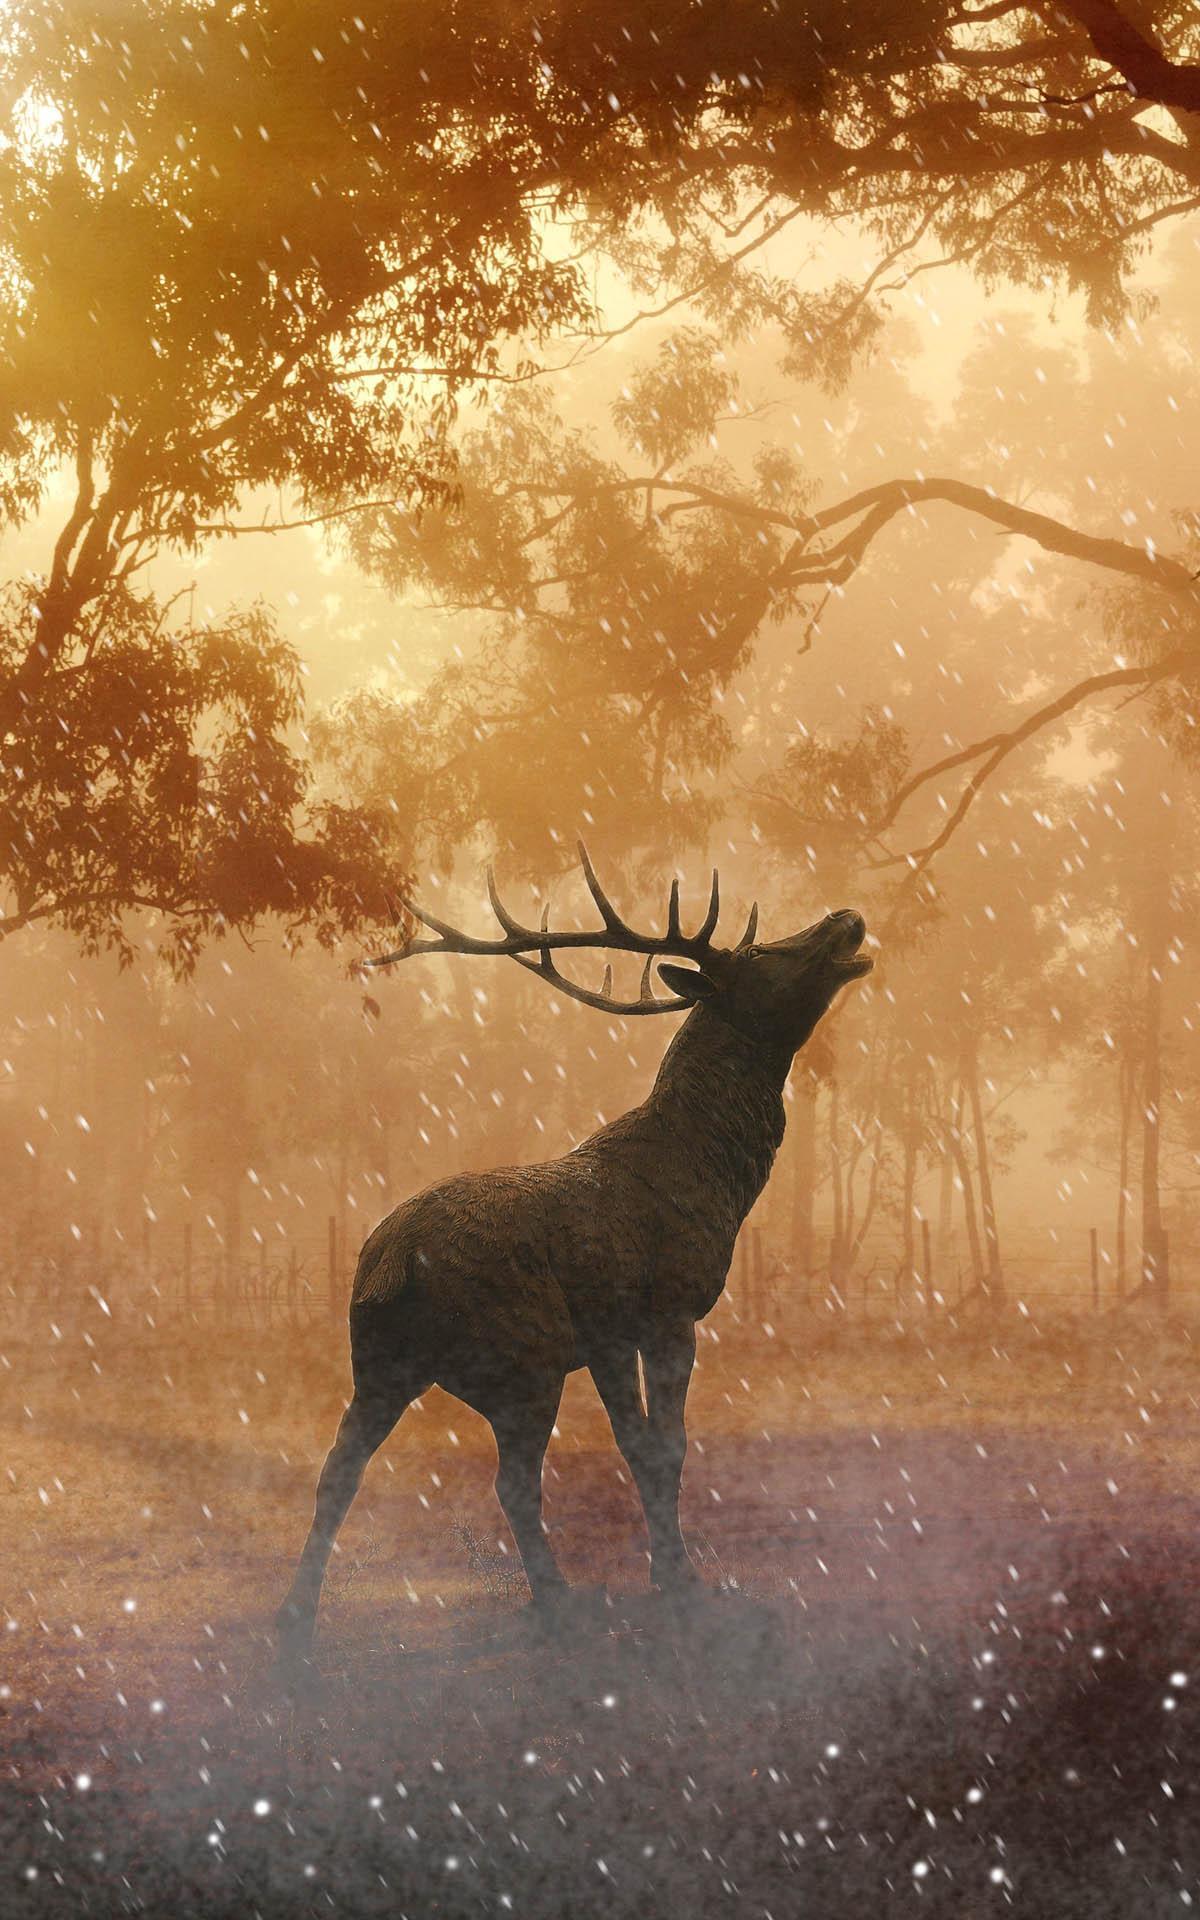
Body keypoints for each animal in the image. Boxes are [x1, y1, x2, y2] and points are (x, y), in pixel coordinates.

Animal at [275, 849, 873, 1668]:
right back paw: (558, 1600)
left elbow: (636, 1447)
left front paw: (663, 1573)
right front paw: (685, 1586)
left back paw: (295, 1620)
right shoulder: (667, 1307)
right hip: (521, 1357)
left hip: (379, 1363)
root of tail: (386, 1270)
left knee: (338, 1470)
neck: (719, 1178)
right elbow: (669, 1447)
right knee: (512, 1482)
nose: (849, 917)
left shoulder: (607, 1333)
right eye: (761, 955)